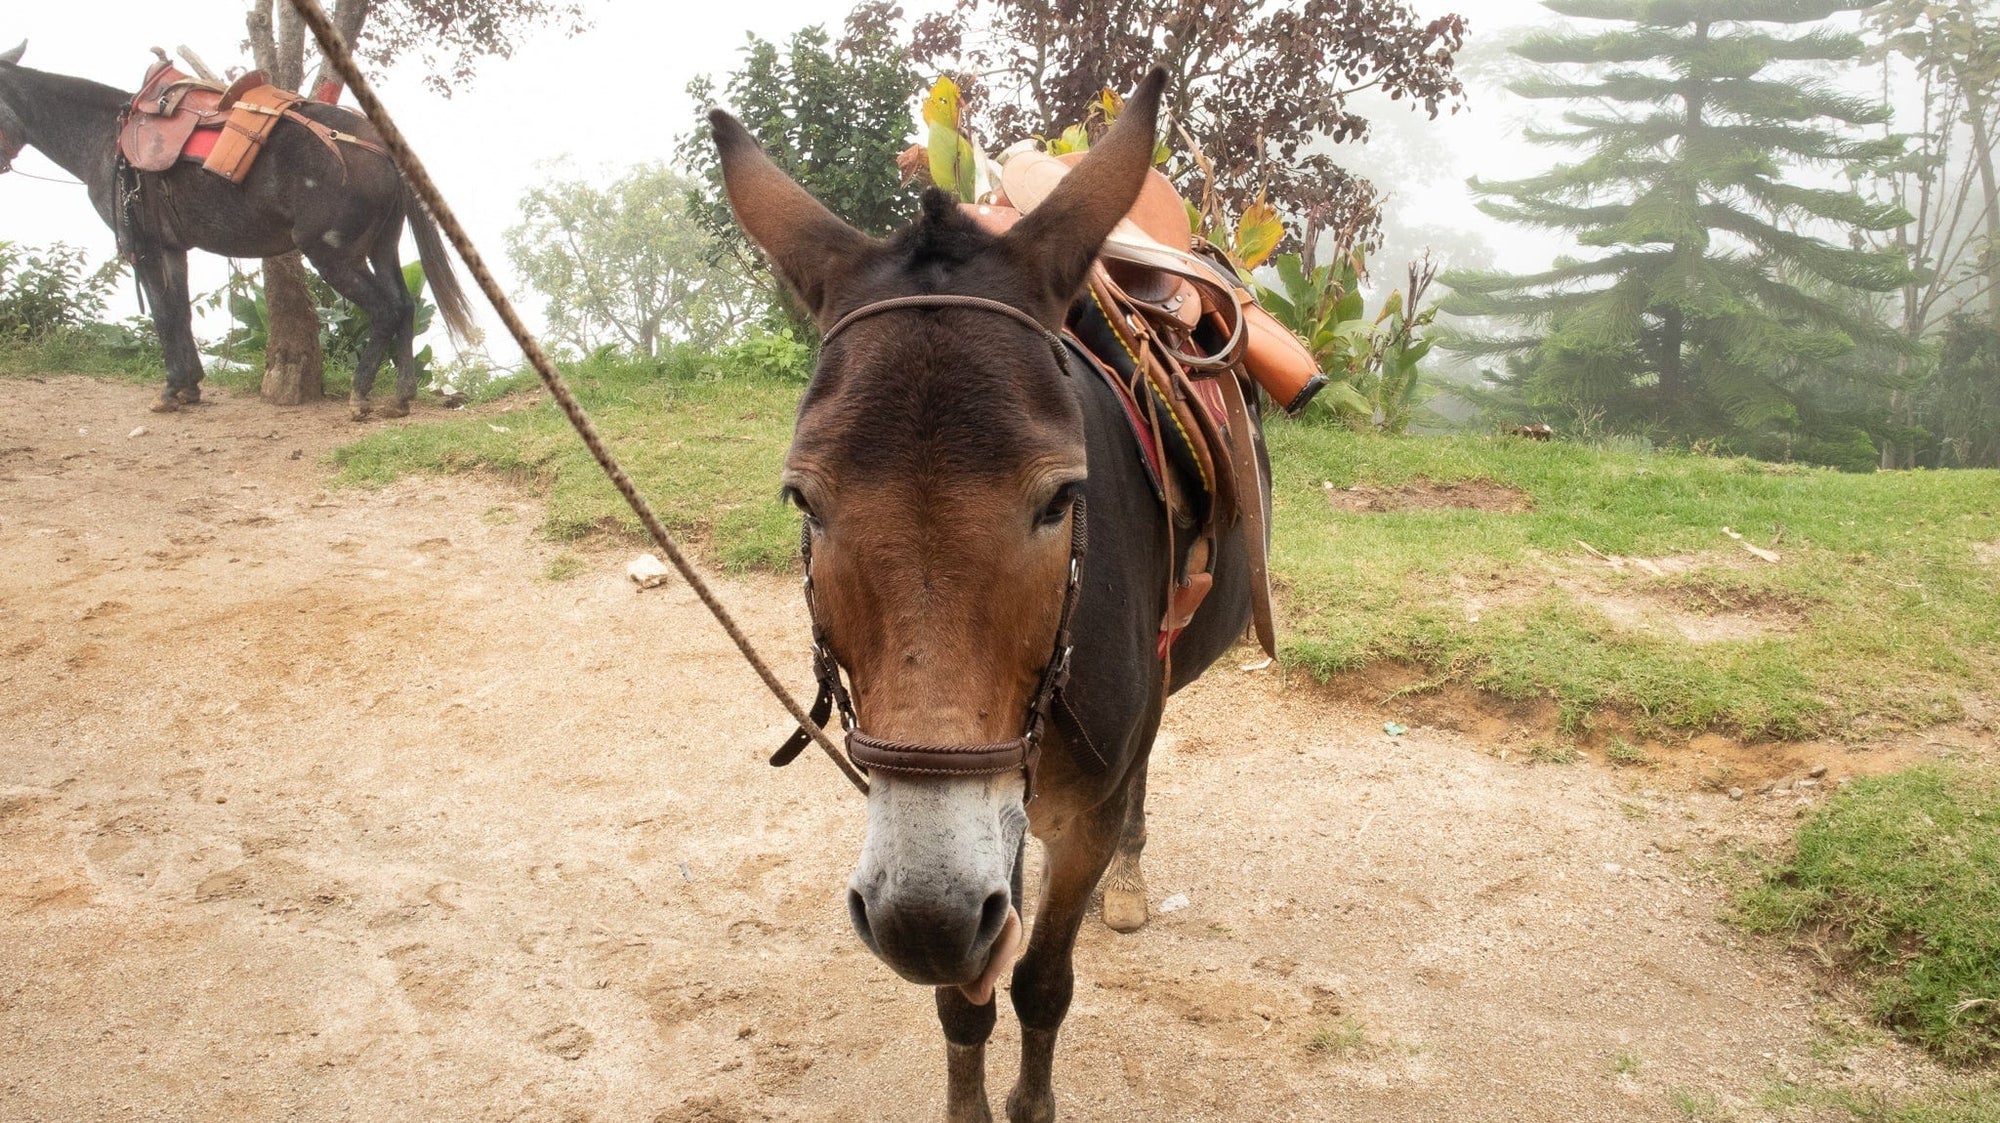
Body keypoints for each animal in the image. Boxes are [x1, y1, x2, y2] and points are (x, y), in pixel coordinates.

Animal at [0, 39, 472, 417]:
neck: (104, 138)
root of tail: (380, 145)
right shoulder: (172, 247)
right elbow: (181, 310)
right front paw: (190, 385)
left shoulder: (144, 245)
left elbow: (163, 313)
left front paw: (171, 389)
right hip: (380, 247)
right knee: (405, 305)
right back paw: (401, 397)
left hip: (334, 254)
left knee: (385, 309)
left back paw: (360, 395)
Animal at [712, 67, 1256, 1111]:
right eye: (803, 499)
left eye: (1062, 499)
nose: (923, 919)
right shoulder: (971, 841)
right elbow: (964, 1005)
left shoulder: (1071, 820)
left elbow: (1043, 981)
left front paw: (1030, 1100)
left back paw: (1131, 879)